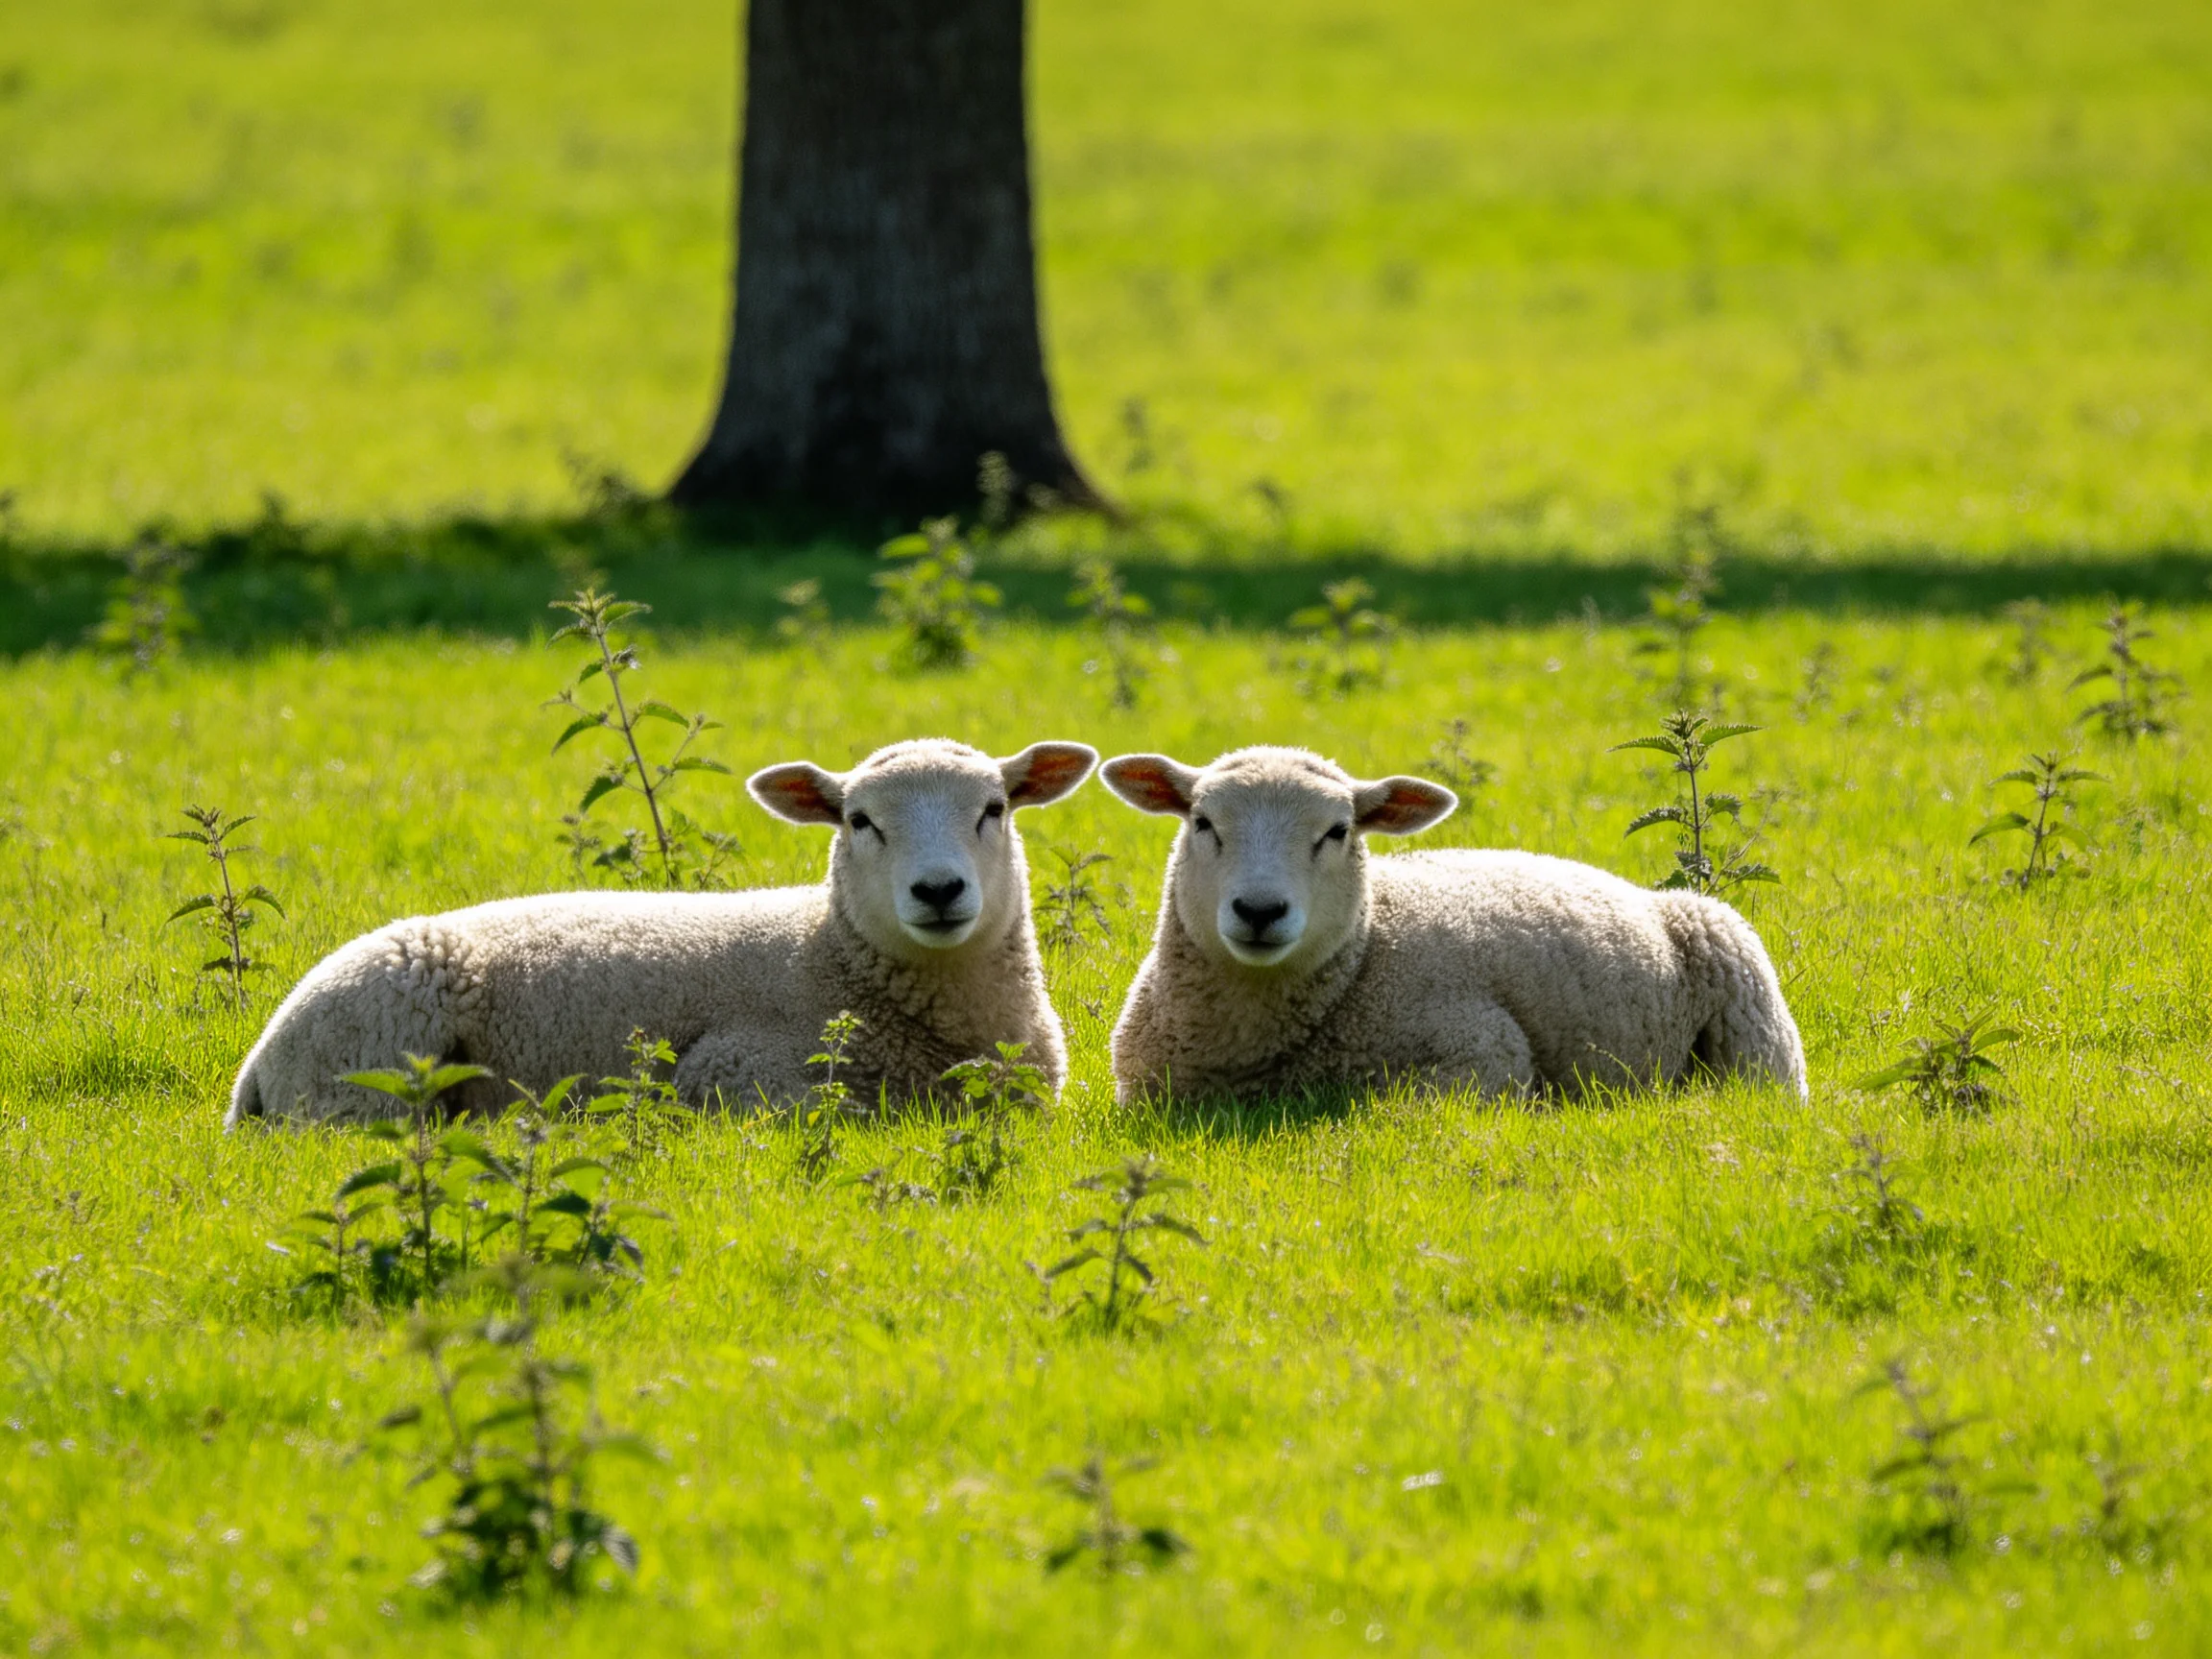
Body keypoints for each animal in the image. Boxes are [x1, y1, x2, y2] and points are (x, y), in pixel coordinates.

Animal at [226, 738, 1098, 1125]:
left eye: (995, 809)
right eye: (859, 821)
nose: (939, 889)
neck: (827, 956)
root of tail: (259, 1062)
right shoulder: (732, 1070)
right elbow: (847, 1112)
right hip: (367, 1070)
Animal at [1099, 745, 1806, 1104]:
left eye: (1338, 831)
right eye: (1203, 823)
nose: (1260, 911)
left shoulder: (1485, 1051)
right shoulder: (1139, 1089)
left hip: (1753, 1022)